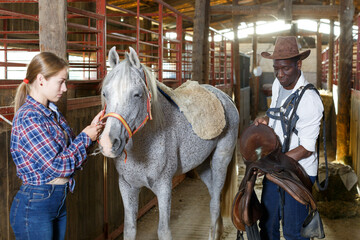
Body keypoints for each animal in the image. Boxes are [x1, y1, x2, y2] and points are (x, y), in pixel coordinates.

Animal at [98, 47, 239, 240]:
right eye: (105, 93)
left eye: (137, 94)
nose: (108, 143)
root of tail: (225, 97)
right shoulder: (127, 187)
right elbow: (130, 229)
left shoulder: (164, 186)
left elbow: (164, 231)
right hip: (202, 165)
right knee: (214, 196)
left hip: (221, 161)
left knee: (215, 203)